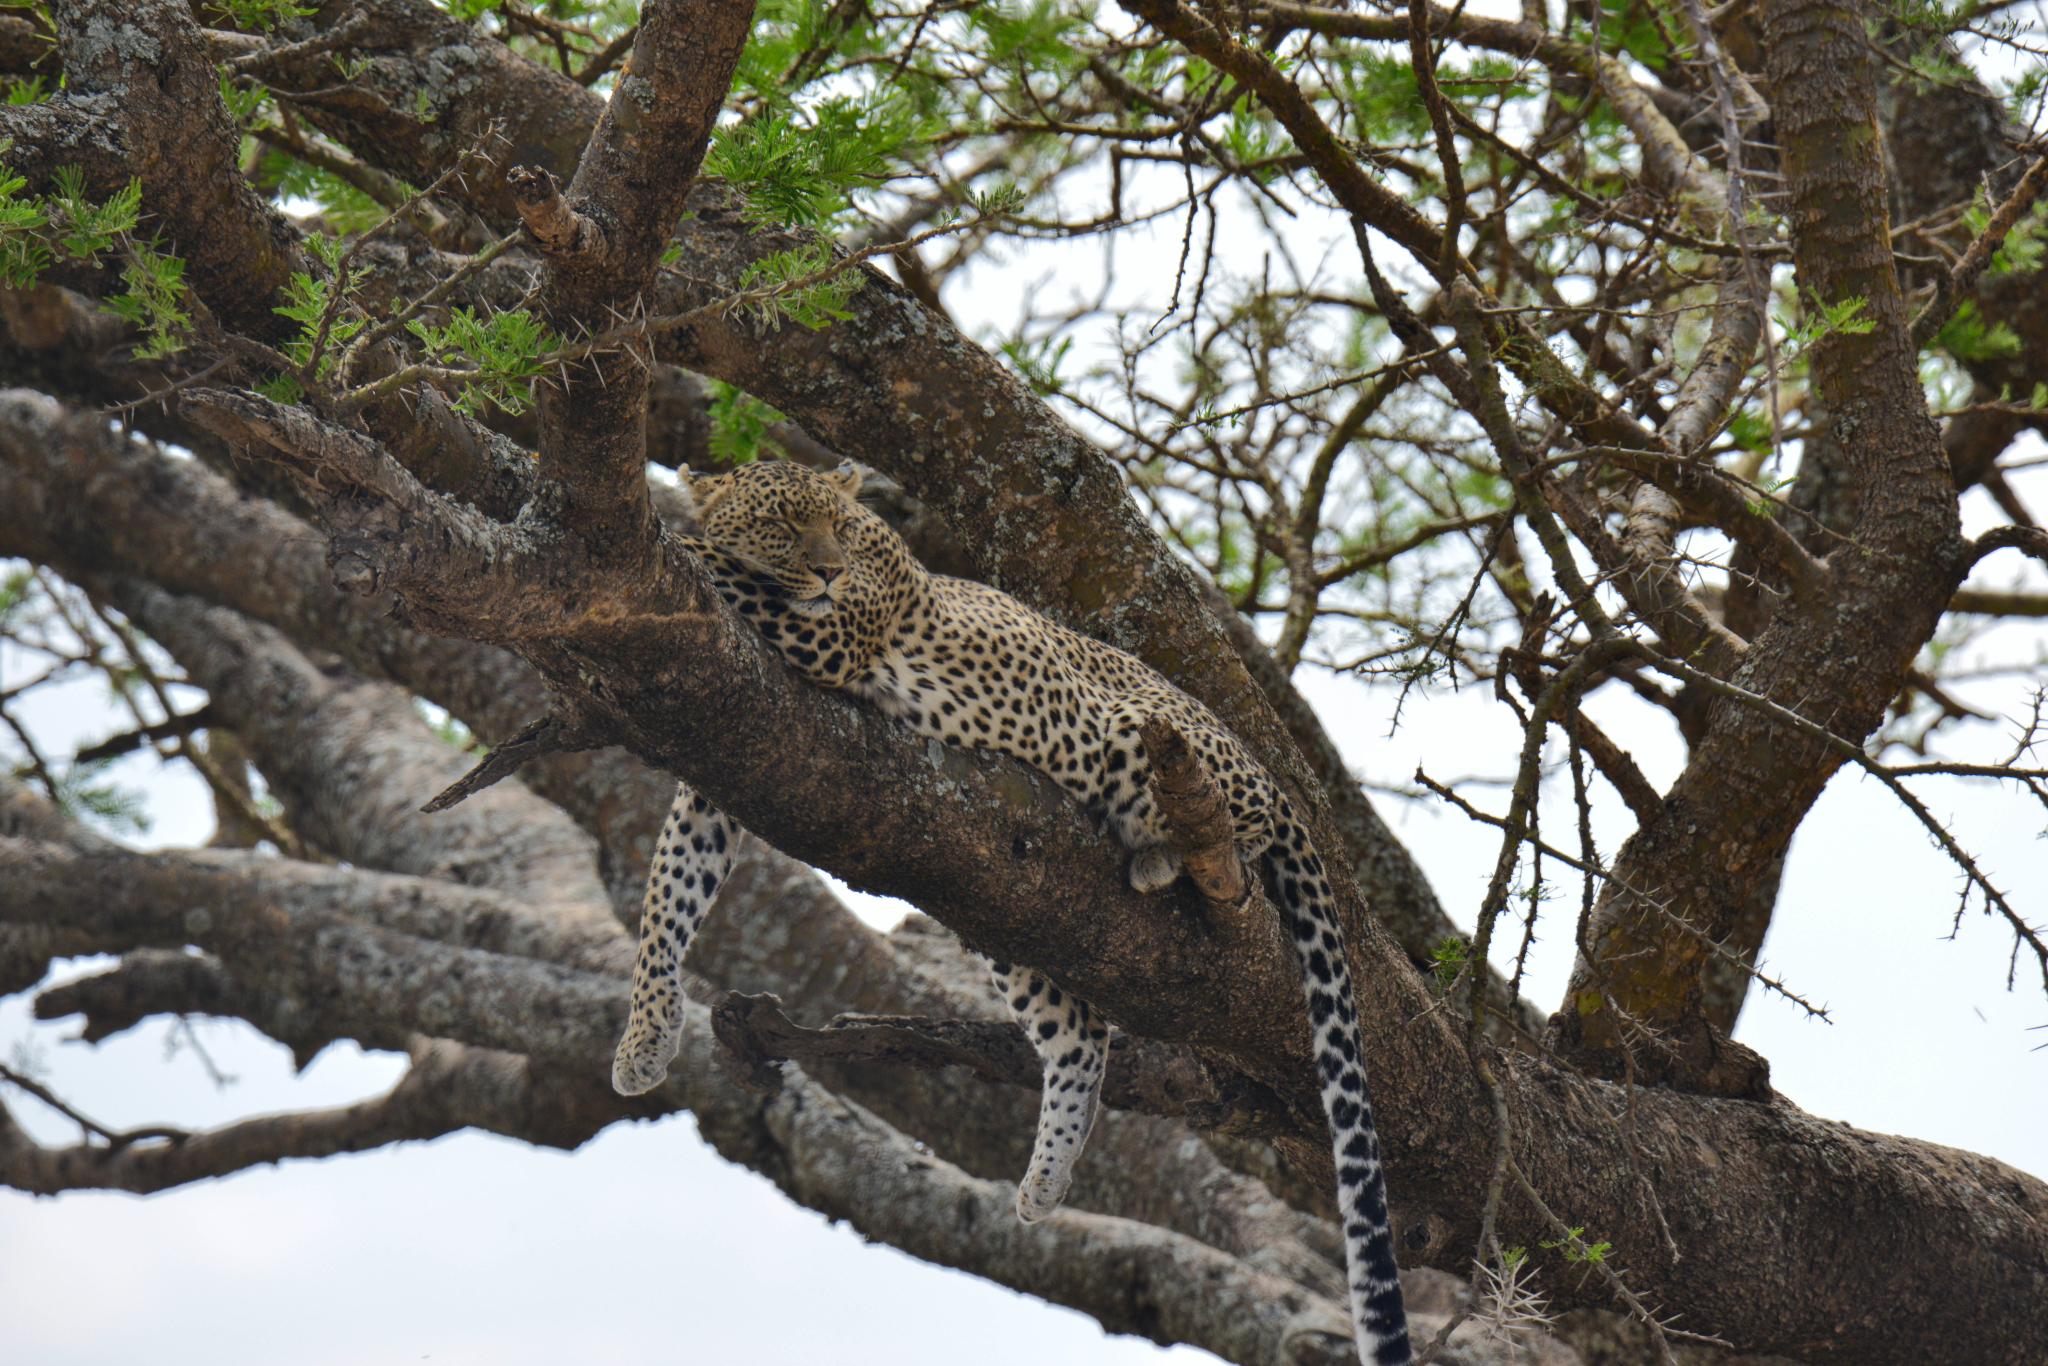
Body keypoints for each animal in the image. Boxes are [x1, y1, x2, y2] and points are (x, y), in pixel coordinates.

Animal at [606, 462, 1409, 1366]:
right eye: (783, 526)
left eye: (838, 530)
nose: (827, 572)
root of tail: (1279, 777)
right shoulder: (722, 767)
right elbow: (670, 896)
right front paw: (645, 1039)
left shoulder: (832, 635)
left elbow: (725, 572)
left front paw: (673, 527)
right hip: (1006, 919)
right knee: (1081, 1035)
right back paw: (1044, 1182)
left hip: (1141, 740)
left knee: (1239, 840)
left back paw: (1164, 856)